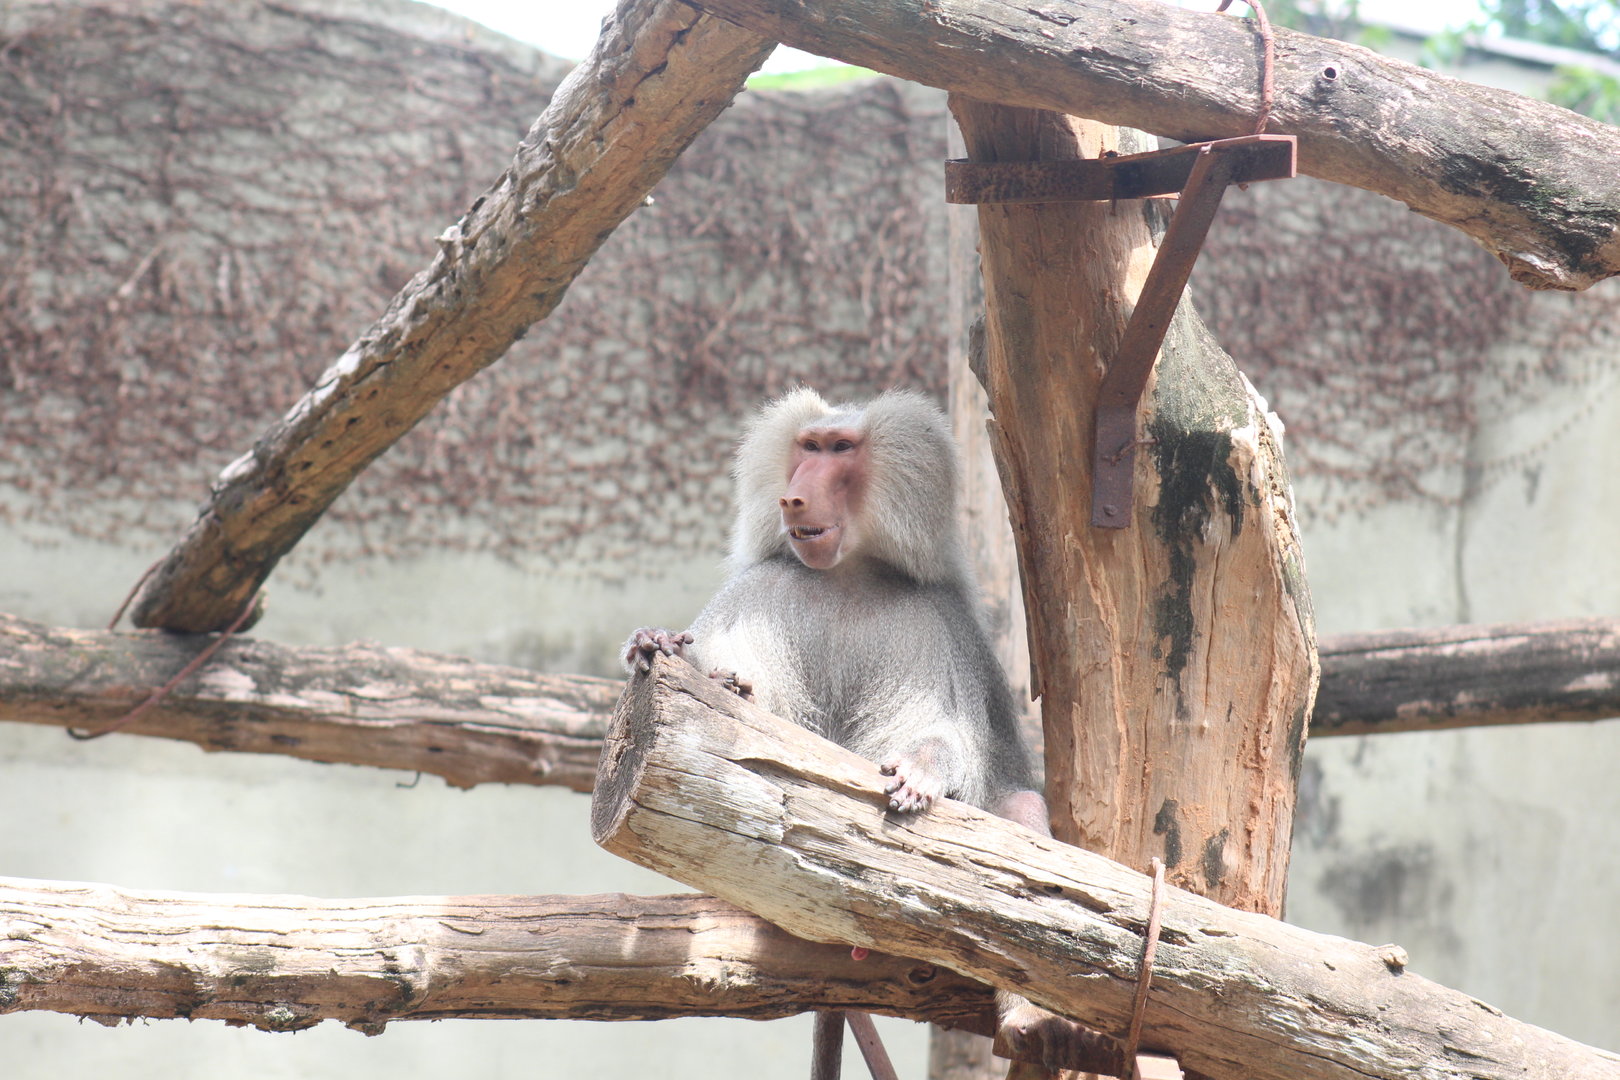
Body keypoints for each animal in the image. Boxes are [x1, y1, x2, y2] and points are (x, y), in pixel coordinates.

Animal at [625, 387, 1085, 1073]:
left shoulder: (929, 624)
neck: (848, 573)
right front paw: (685, 658)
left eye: (840, 449)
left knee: (1024, 810)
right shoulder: (760, 590)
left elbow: (949, 738)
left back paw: (1031, 1021)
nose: (793, 497)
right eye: (807, 447)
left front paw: (921, 770)